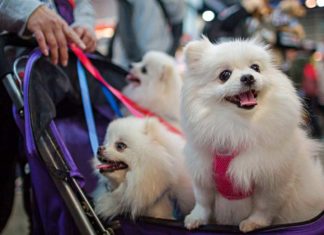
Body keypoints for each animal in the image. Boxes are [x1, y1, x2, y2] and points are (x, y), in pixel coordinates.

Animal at [181, 37, 324, 232]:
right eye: (224, 75)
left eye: (255, 68)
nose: (248, 77)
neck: (238, 126)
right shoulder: (202, 173)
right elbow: (203, 201)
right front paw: (196, 218)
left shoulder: (271, 179)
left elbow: (264, 207)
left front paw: (254, 223)